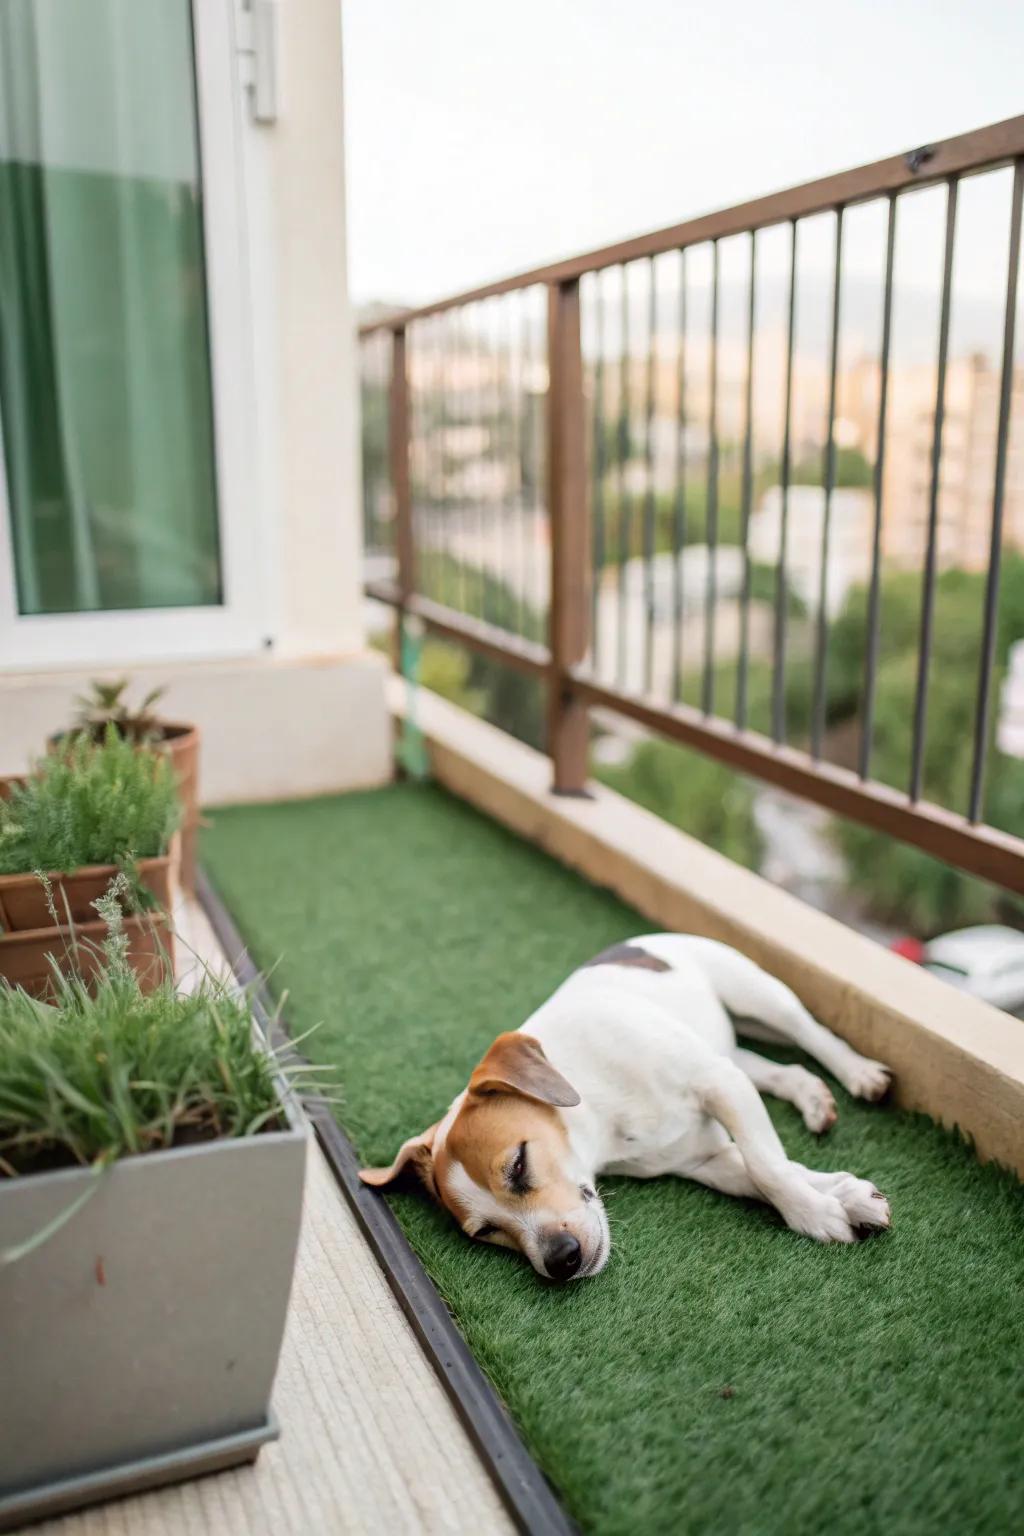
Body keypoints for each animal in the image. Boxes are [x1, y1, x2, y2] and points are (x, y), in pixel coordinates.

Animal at [360, 933, 890, 1284]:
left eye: (519, 1164)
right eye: (486, 1230)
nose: (560, 1260)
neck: (602, 1118)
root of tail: (638, 938)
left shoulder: (721, 1084)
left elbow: (768, 1166)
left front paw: (816, 1214)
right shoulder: (706, 1157)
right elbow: (767, 1170)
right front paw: (845, 1196)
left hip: (759, 996)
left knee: (811, 1033)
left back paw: (858, 1072)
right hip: (729, 1047)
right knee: (777, 1068)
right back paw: (812, 1096)